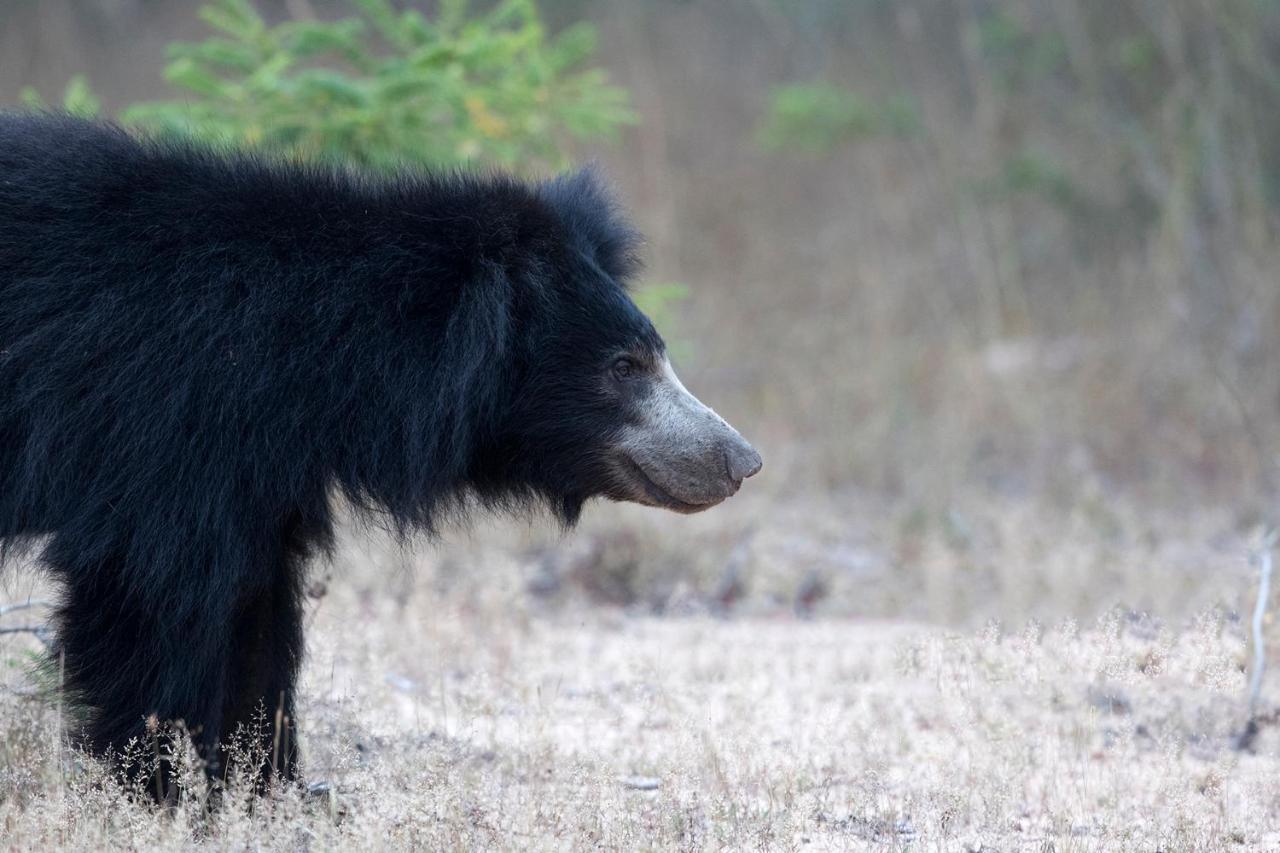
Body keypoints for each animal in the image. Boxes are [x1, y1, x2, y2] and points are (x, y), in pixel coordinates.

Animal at [0, 111, 757, 788]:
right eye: (625, 366)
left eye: (656, 354)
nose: (740, 461)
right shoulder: (160, 423)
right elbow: (152, 597)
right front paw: (160, 790)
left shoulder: (255, 469)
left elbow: (255, 614)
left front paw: (267, 787)